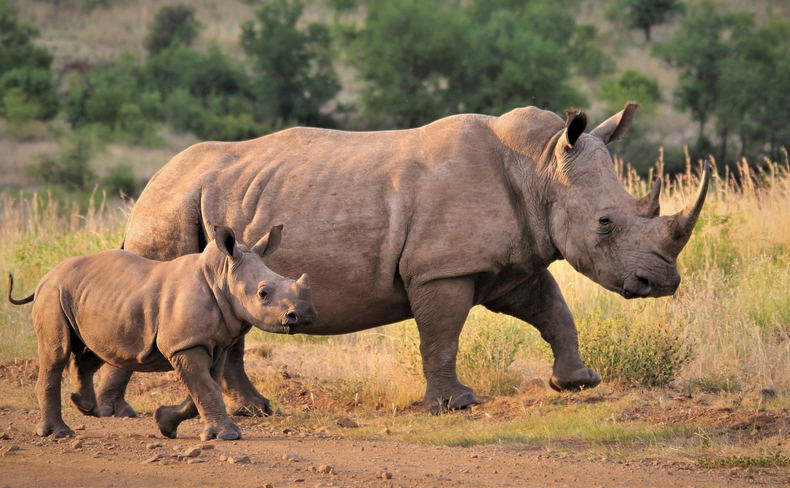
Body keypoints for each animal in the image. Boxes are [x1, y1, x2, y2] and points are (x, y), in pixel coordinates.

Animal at [8, 225, 315, 439]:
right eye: (263, 293)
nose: (304, 315)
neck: (221, 276)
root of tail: (45, 277)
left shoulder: (213, 343)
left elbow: (204, 388)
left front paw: (164, 423)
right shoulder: (185, 344)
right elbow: (205, 388)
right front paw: (228, 435)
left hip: (89, 296)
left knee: (96, 348)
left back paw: (85, 407)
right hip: (53, 293)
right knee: (57, 354)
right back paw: (59, 433)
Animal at [90, 102, 710, 415]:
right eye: (605, 223)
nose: (662, 282)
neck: (539, 168)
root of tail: (154, 179)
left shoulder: (512, 262)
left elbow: (554, 310)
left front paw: (578, 382)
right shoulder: (442, 267)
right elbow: (442, 334)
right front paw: (455, 405)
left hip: (213, 206)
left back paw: (256, 411)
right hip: (171, 207)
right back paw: (113, 413)